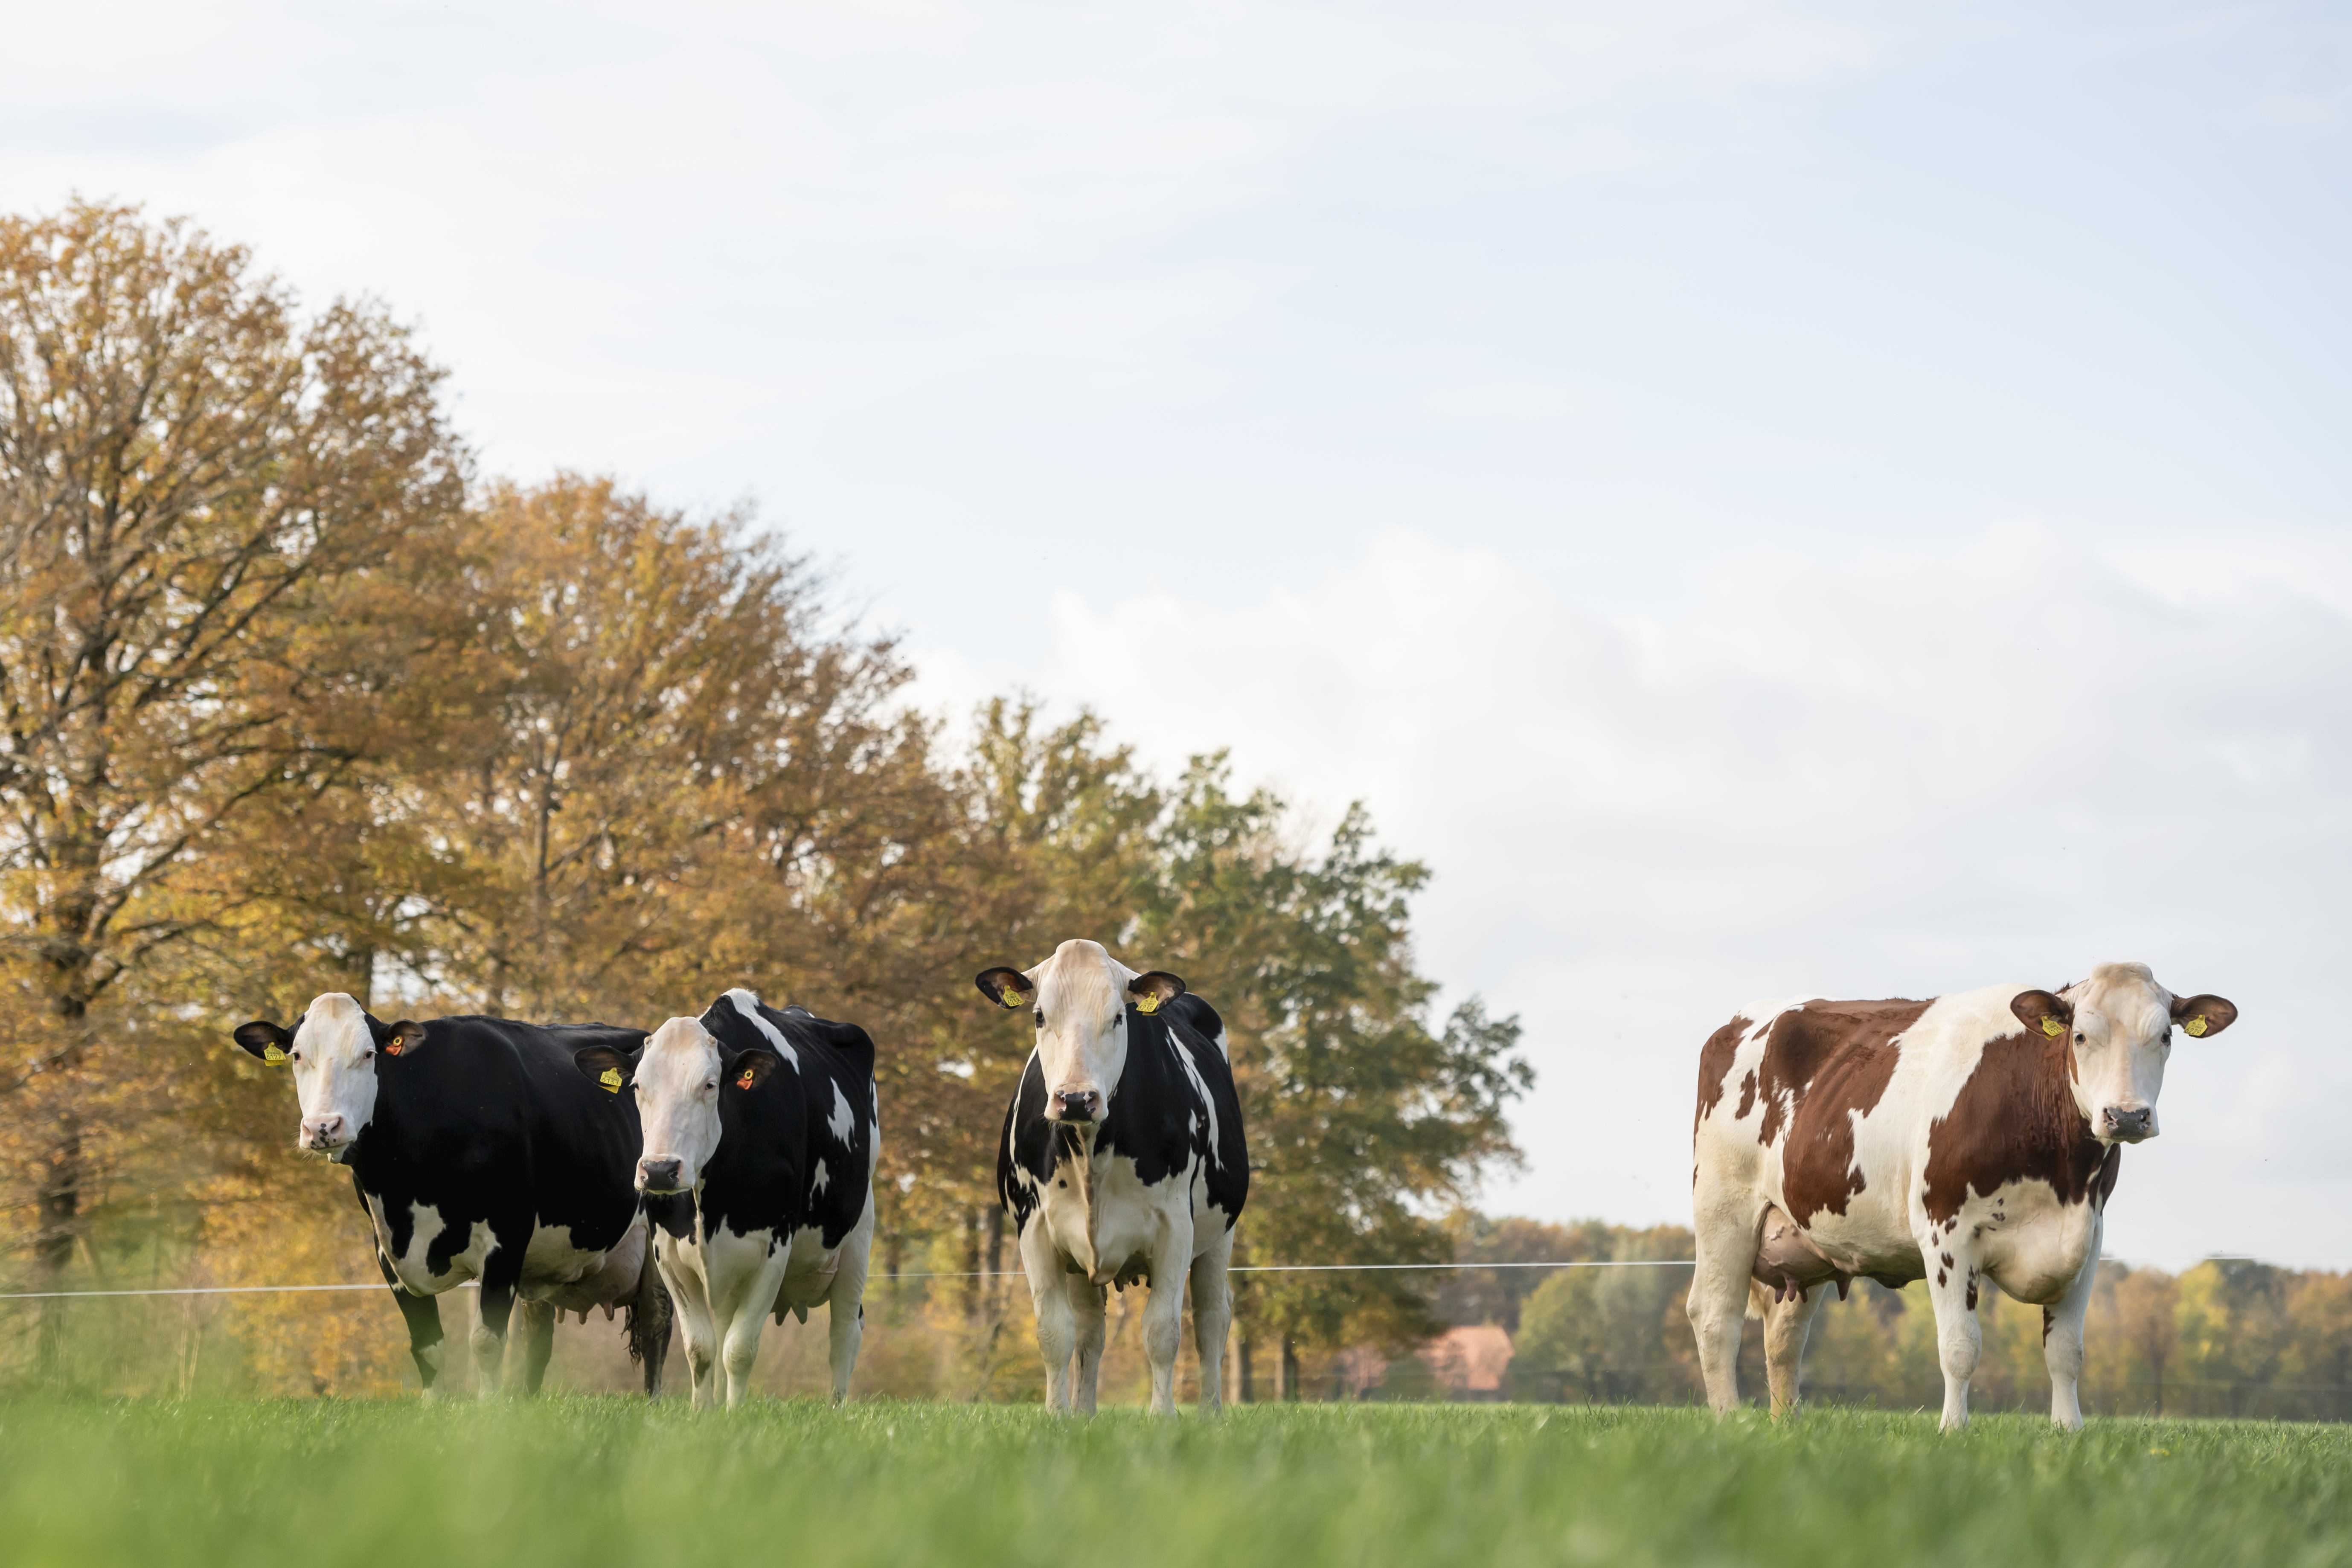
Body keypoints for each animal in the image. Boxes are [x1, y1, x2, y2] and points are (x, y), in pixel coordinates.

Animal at [232, 992, 672, 1401]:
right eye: (296, 1056)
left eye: (369, 1054)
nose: (324, 1127)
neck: (406, 1189)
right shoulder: (387, 1252)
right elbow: (427, 1348)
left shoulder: (507, 1237)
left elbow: (487, 1342)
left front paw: (487, 1416)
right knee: (538, 1335)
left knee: (657, 1323)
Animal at [571, 992, 884, 1410]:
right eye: (636, 1086)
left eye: (710, 1085)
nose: (659, 1170)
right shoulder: (668, 1254)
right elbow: (701, 1348)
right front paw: (704, 1415)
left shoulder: (772, 1252)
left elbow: (739, 1349)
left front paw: (734, 1417)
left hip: (858, 1234)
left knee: (844, 1333)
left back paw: (836, 1407)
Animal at [978, 945, 1260, 1420]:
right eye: (1039, 1015)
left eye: (1117, 1017)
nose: (1076, 1098)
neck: (1091, 1152)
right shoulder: (1033, 1229)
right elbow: (1055, 1332)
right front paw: (1058, 1415)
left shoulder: (1175, 1228)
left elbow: (1162, 1332)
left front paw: (1163, 1416)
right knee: (1091, 1329)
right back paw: (1085, 1412)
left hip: (1222, 1231)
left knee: (1211, 1317)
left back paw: (1211, 1413)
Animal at [1693, 964, 2239, 1429]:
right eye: (2080, 1035)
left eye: (2164, 1035)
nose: (2125, 1115)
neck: (2059, 1171)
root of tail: (1742, 1019)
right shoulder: (1945, 1230)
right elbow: (1960, 1347)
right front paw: (1952, 1429)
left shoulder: (2088, 1237)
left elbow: (2066, 1351)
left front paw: (2068, 1431)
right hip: (1722, 1208)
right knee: (1714, 1316)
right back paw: (1727, 1422)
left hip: (1802, 1240)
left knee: (1784, 1337)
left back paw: (1786, 1426)